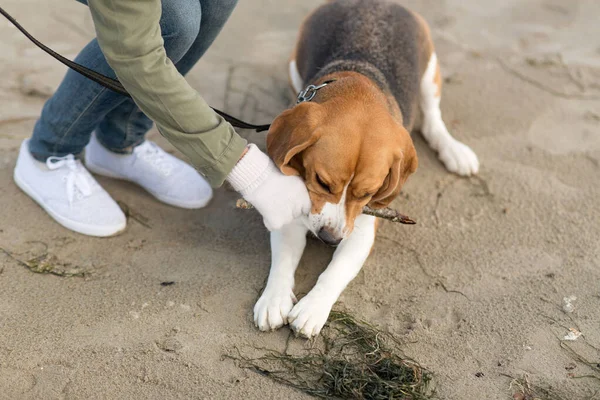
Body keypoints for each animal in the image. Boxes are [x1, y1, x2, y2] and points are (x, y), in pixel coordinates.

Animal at [252, 0, 478, 338]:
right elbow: (283, 259)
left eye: (368, 193)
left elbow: (334, 272)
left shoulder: (360, 230)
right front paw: (274, 298)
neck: (357, 82)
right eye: (321, 181)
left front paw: (312, 307)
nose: (329, 239)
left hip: (429, 74)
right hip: (294, 64)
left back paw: (454, 151)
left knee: (432, 120)